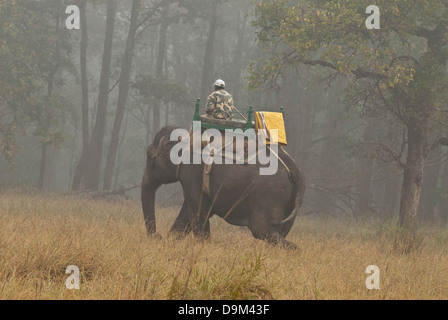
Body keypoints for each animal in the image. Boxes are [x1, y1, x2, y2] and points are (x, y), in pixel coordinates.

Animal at [142, 126, 306, 249]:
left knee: (261, 229)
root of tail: (293, 168)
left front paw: (203, 246)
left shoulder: (191, 172)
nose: (157, 236)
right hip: (290, 199)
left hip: (268, 193)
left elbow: (199, 211)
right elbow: (188, 214)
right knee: (280, 230)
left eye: (150, 156)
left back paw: (295, 251)